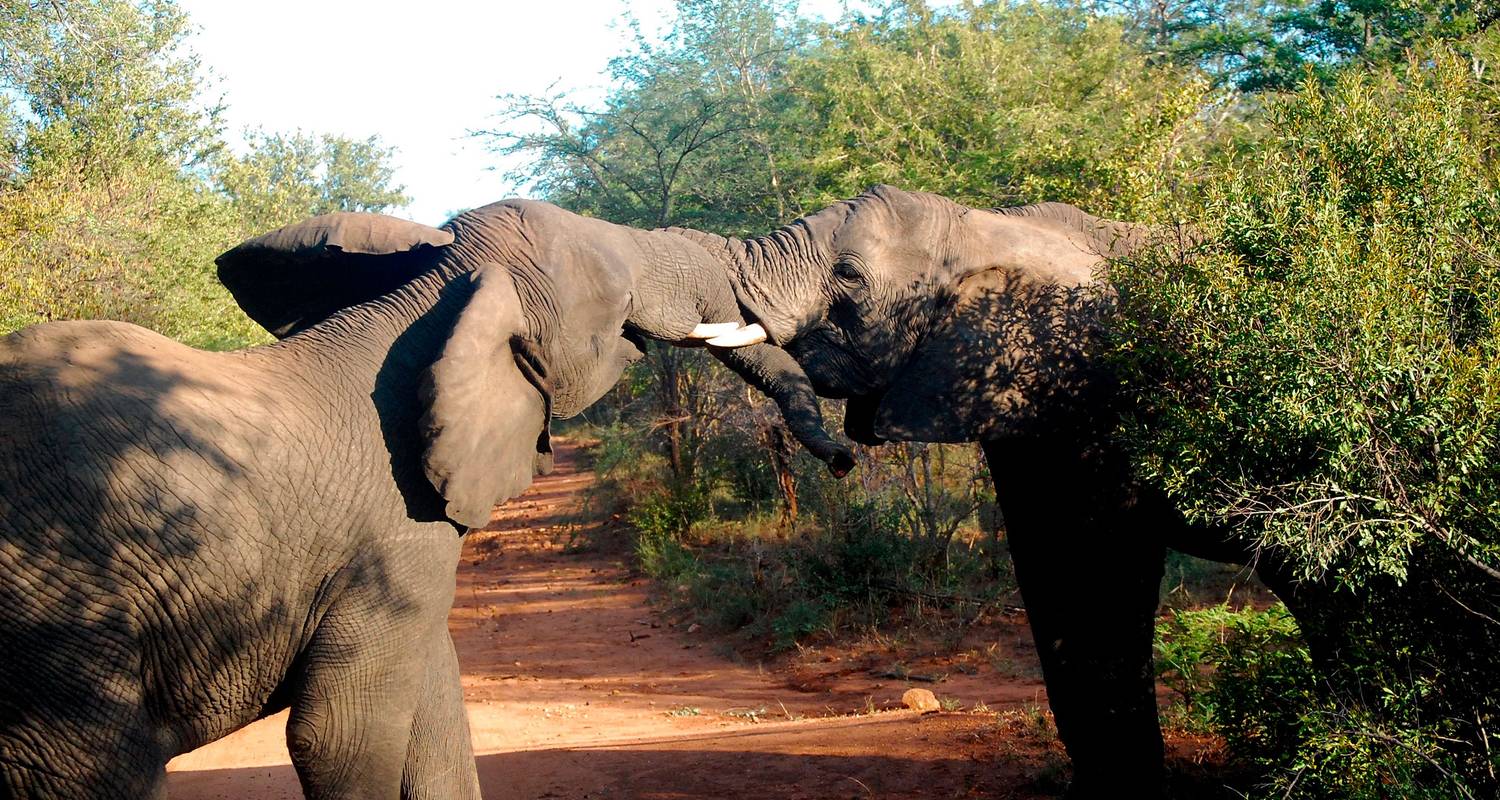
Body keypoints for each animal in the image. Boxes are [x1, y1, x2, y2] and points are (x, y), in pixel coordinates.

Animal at [0, 196, 852, 792]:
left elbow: (433, 713)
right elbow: (341, 736)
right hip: (59, 614)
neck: (430, 304)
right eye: (617, 299)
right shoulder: (392, 533)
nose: (845, 458)